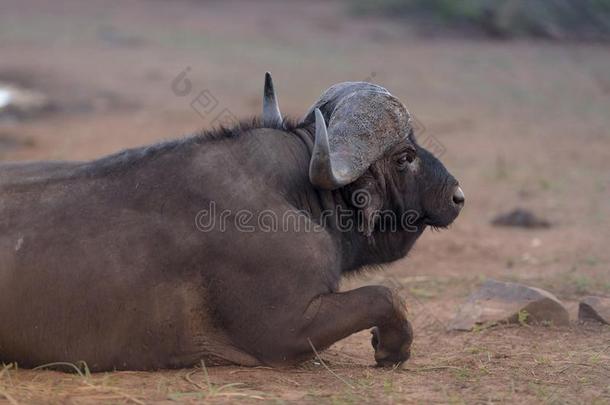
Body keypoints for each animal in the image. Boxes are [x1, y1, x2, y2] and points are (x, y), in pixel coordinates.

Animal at [0, 72, 460, 370]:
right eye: (405, 156)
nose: (457, 196)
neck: (295, 195)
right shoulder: (286, 333)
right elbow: (385, 295)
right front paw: (393, 348)